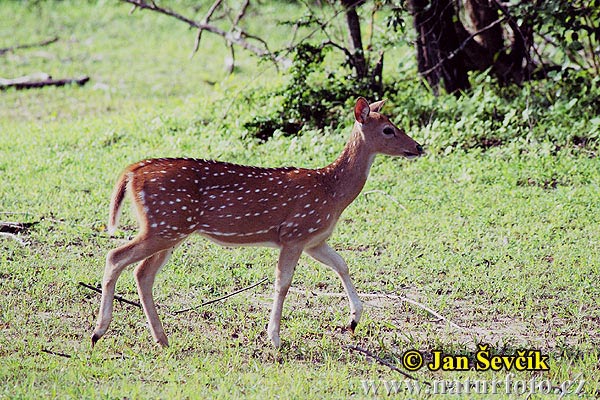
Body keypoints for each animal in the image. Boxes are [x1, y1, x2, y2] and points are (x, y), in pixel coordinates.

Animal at [92, 97, 422, 346]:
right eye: (389, 129)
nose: (418, 147)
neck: (332, 191)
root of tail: (131, 172)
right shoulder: (295, 232)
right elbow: (283, 282)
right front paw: (274, 338)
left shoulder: (314, 239)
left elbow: (342, 264)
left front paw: (353, 320)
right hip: (165, 225)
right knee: (115, 256)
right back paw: (99, 332)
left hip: (172, 228)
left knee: (142, 273)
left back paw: (161, 339)